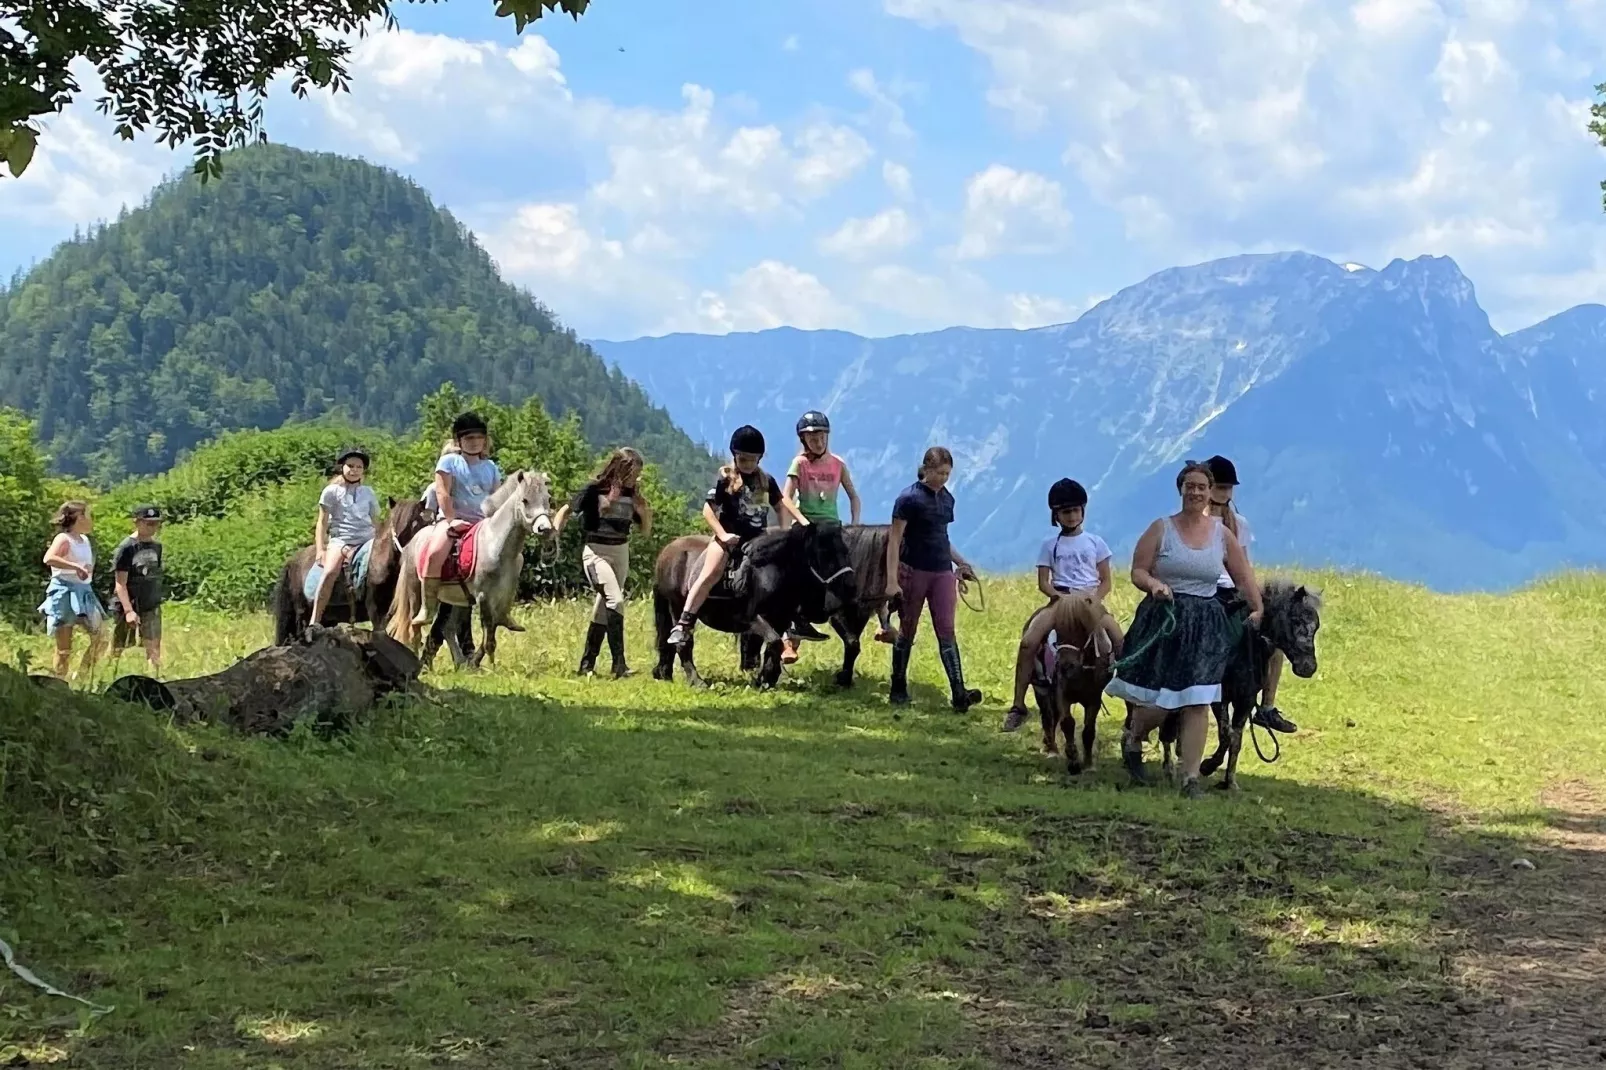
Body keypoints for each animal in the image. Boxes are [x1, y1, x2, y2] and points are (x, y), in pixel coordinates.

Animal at [271, 494, 433, 642]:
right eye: (412, 523)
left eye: (426, 522)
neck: (379, 562)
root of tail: (292, 562)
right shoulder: (374, 609)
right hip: (302, 615)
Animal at [652, 520, 860, 687]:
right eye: (824, 551)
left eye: (845, 551)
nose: (850, 585)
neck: (770, 571)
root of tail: (665, 552)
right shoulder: (751, 618)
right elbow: (774, 642)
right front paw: (766, 678)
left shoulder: (781, 618)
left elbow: (773, 646)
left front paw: (767, 678)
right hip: (677, 606)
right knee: (683, 642)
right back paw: (696, 681)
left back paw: (664, 674)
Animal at [1027, 594, 1117, 771]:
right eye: (1056, 630)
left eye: (1081, 628)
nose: (1065, 666)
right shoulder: (1062, 694)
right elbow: (1067, 722)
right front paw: (1073, 760)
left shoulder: (1094, 699)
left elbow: (1089, 730)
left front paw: (1088, 764)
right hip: (1041, 689)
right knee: (1048, 717)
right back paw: (1051, 750)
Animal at [1162, 578, 1323, 787]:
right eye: (1295, 620)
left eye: (1316, 626)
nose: (1308, 667)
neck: (1241, 649)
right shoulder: (1220, 699)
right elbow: (1226, 735)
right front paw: (1207, 766)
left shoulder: (1245, 701)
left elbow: (1235, 740)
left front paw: (1230, 782)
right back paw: (1170, 767)